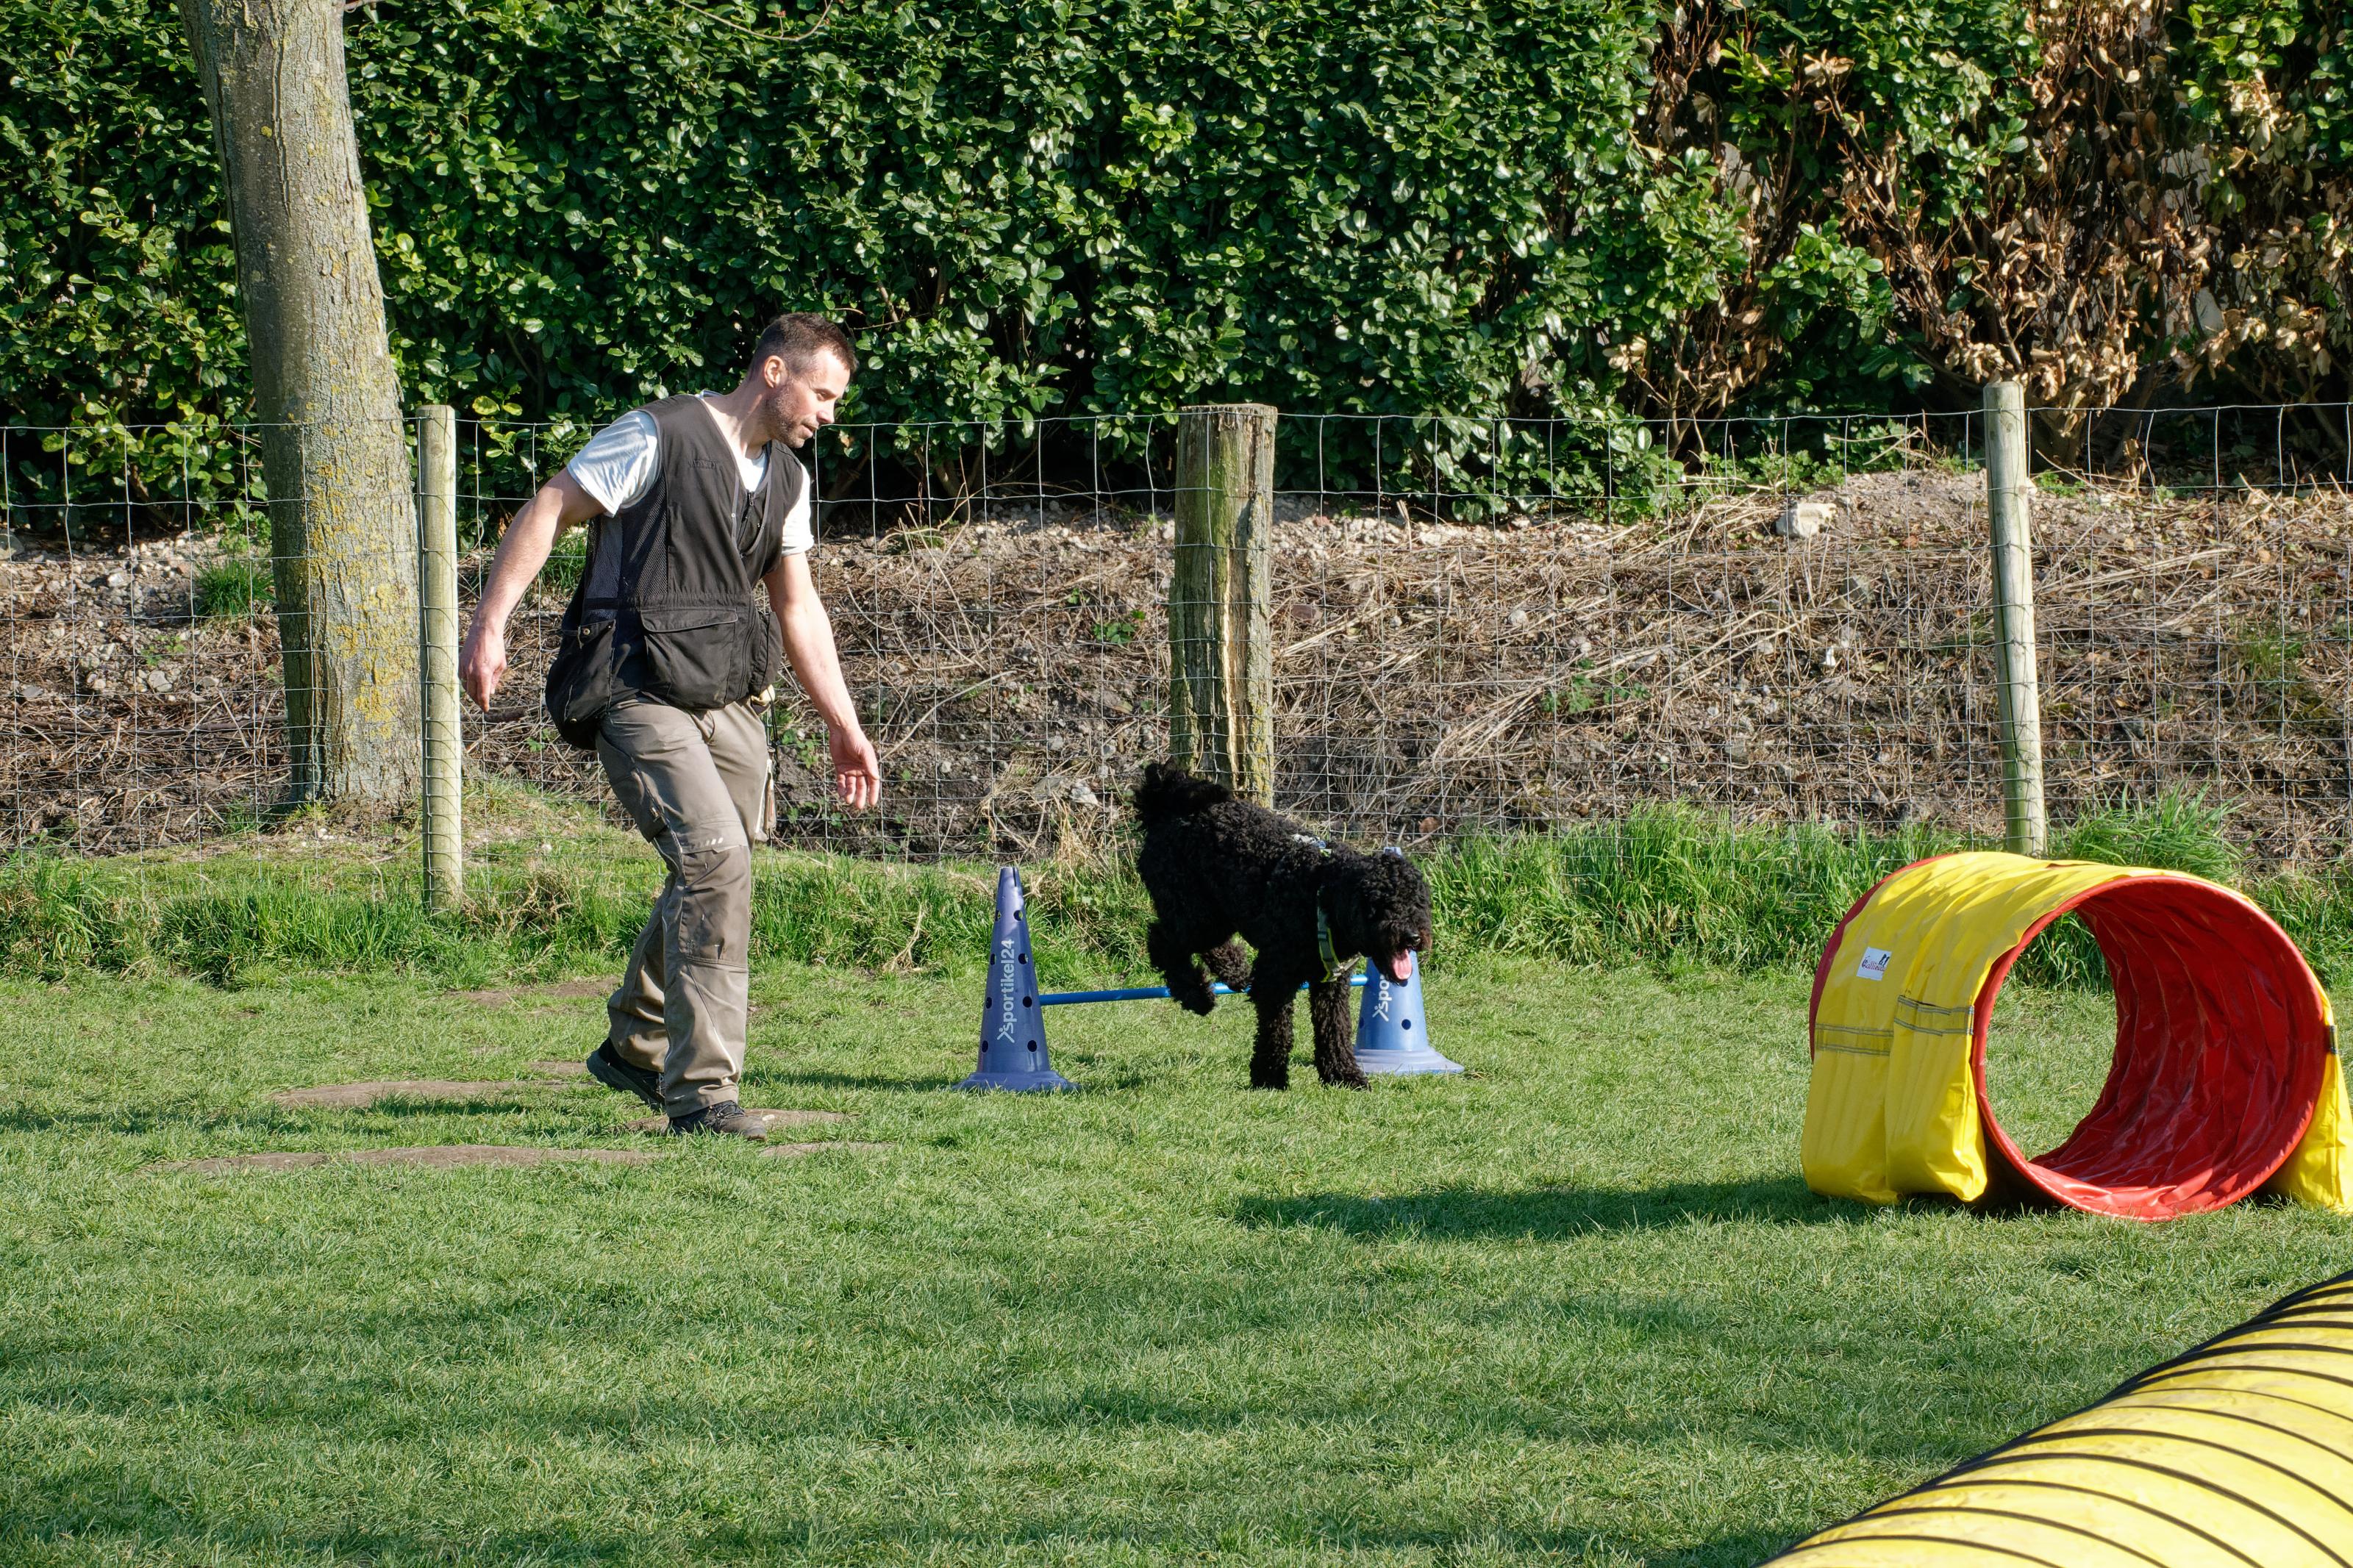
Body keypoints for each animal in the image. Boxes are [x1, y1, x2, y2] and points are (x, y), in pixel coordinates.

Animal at [1133, 761, 1432, 1089]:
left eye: (1418, 902)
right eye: (1381, 904)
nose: (1412, 937)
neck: (1321, 891)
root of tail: (1164, 806)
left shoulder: (1332, 984)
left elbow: (1334, 1030)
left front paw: (1343, 1075)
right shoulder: (1274, 979)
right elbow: (1277, 1031)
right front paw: (1269, 1077)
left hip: (1215, 913)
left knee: (1202, 945)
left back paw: (1235, 972)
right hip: (1195, 914)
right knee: (1162, 941)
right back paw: (1197, 995)